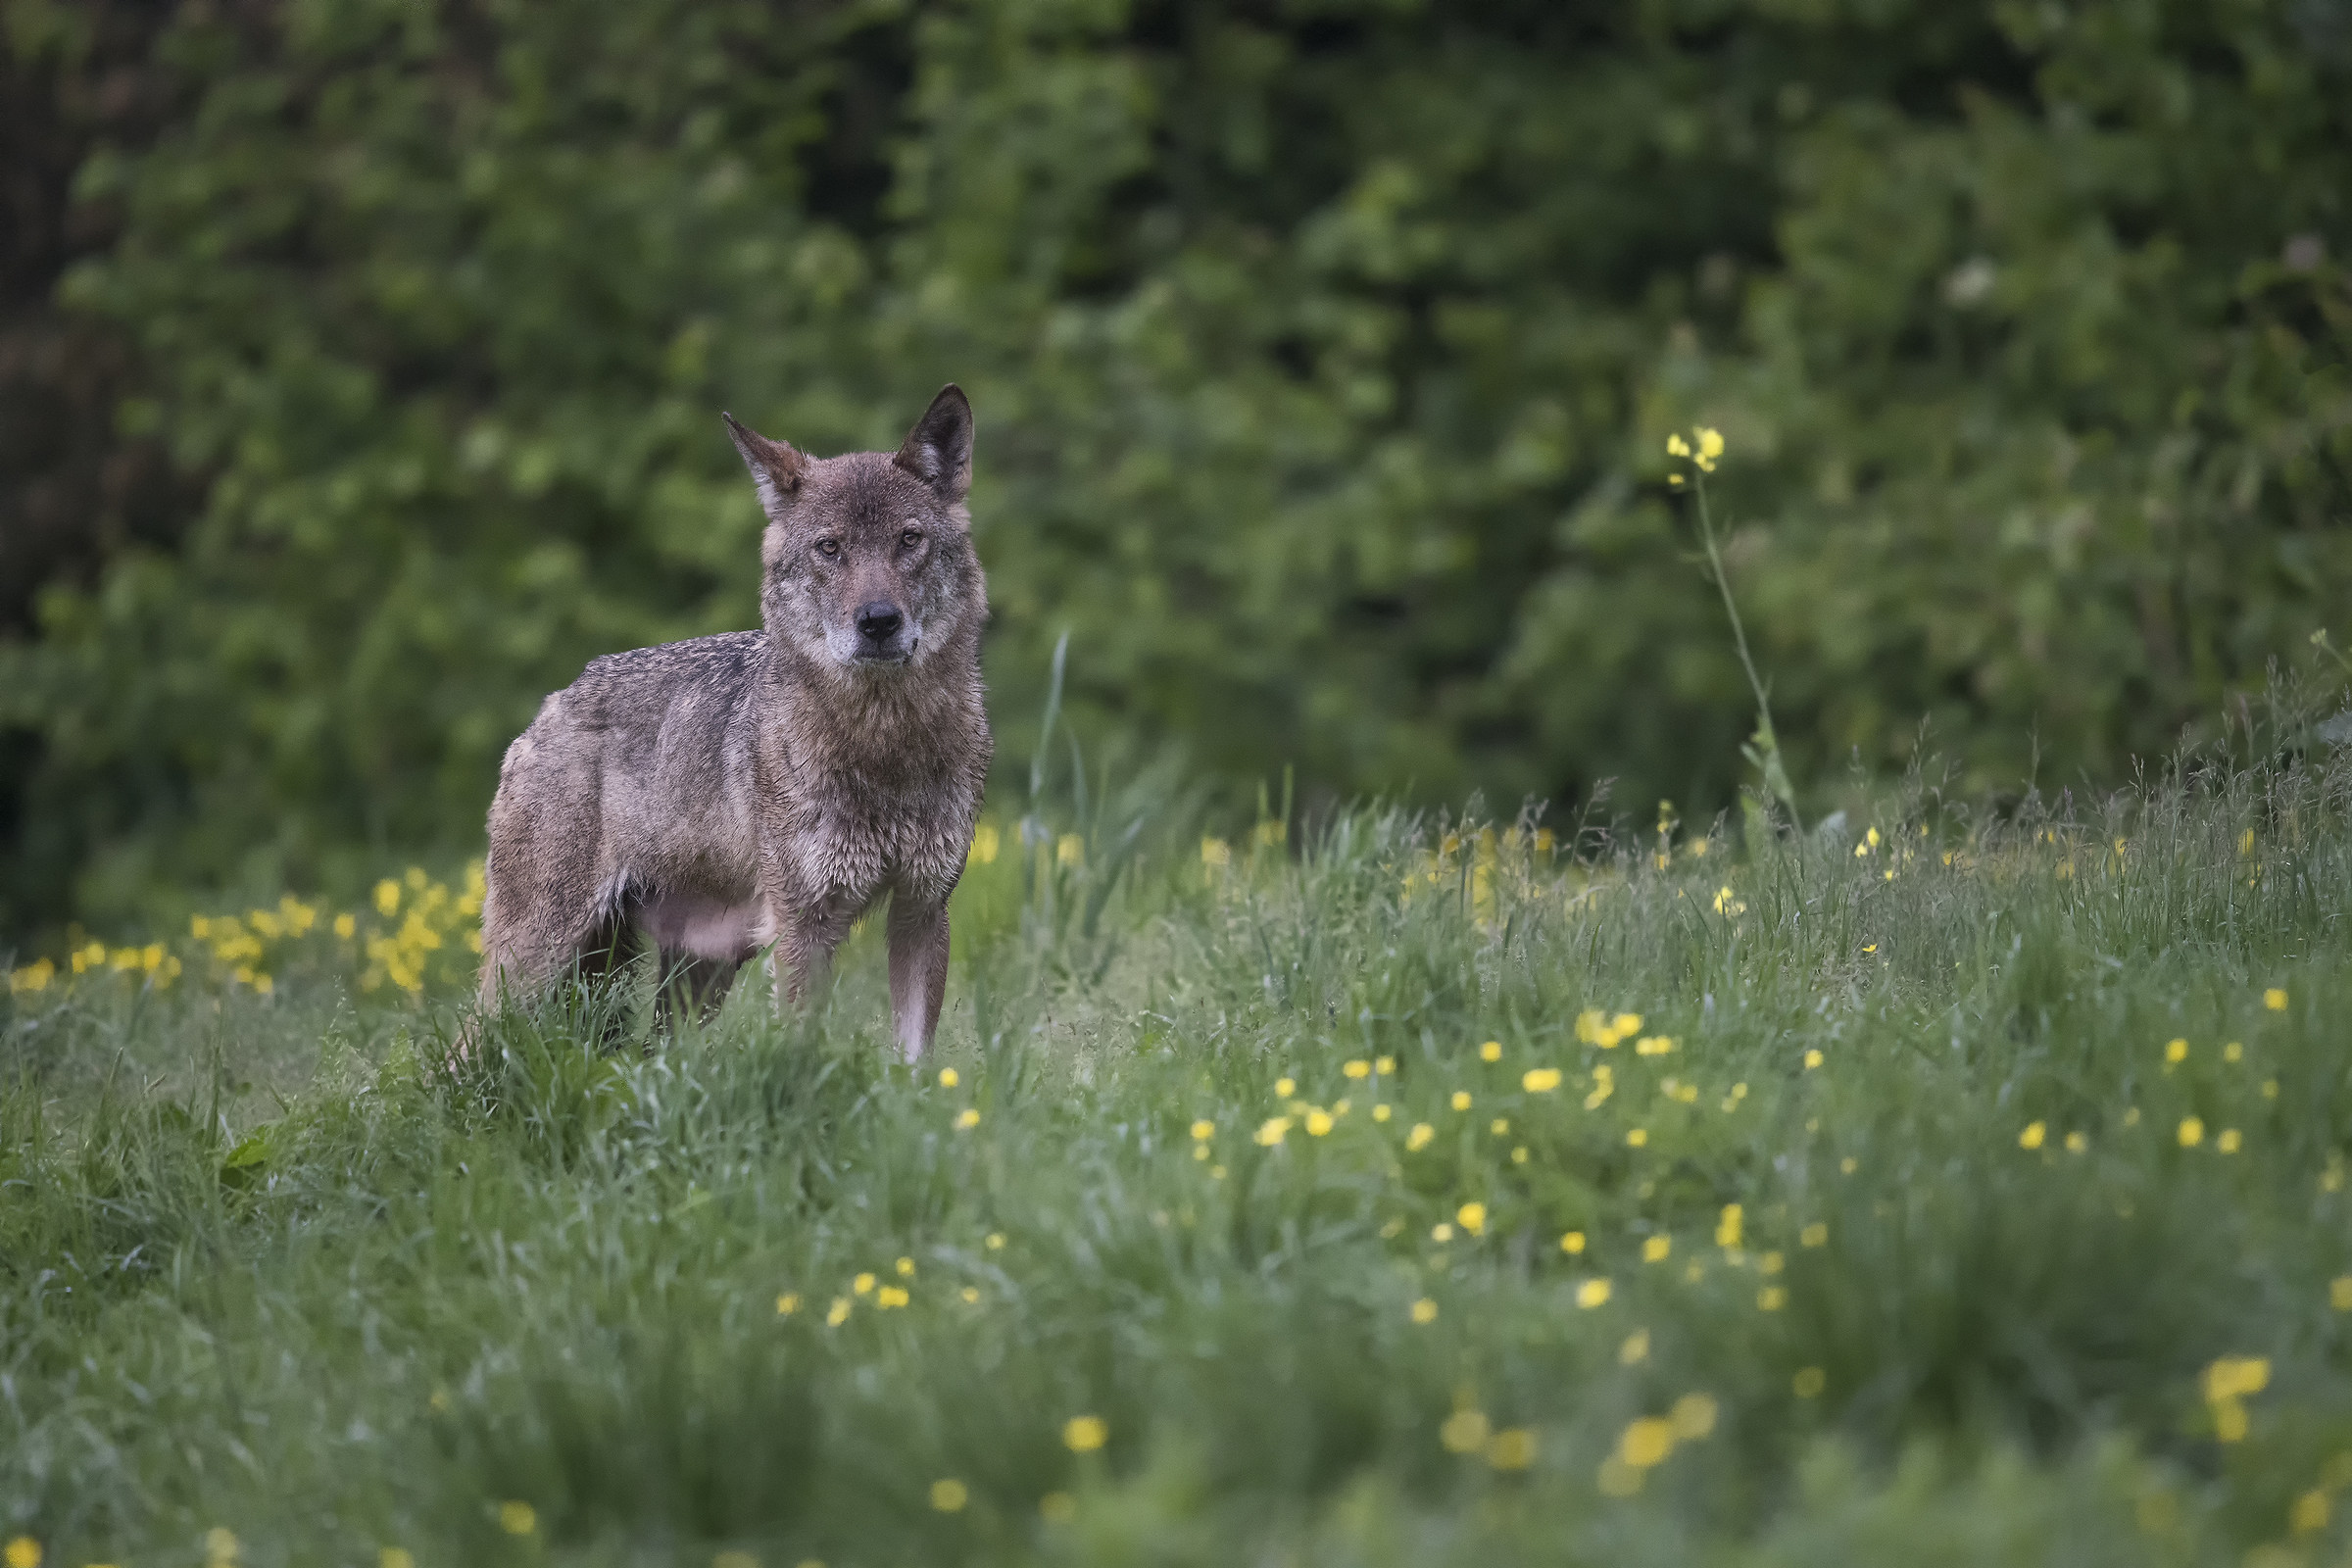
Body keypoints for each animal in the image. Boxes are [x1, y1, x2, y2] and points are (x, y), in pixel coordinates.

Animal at [474, 385, 991, 1060]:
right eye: (830, 549)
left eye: (909, 539)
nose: (878, 621)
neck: (884, 747)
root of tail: (552, 704)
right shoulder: (803, 925)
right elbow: (799, 1050)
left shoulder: (923, 911)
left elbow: (915, 1063)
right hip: (537, 963)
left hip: (699, 973)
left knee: (650, 1057)